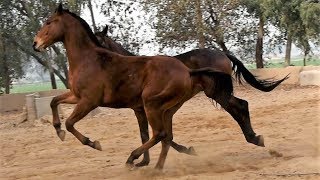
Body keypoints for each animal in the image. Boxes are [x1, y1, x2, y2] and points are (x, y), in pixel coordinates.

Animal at [33, 4, 276, 170]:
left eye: (48, 22)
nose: (36, 44)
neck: (89, 59)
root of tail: (187, 71)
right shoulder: (78, 96)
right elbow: (54, 102)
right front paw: (58, 130)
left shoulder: (90, 101)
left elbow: (71, 123)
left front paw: (94, 143)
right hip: (167, 106)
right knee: (165, 134)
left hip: (167, 101)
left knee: (165, 132)